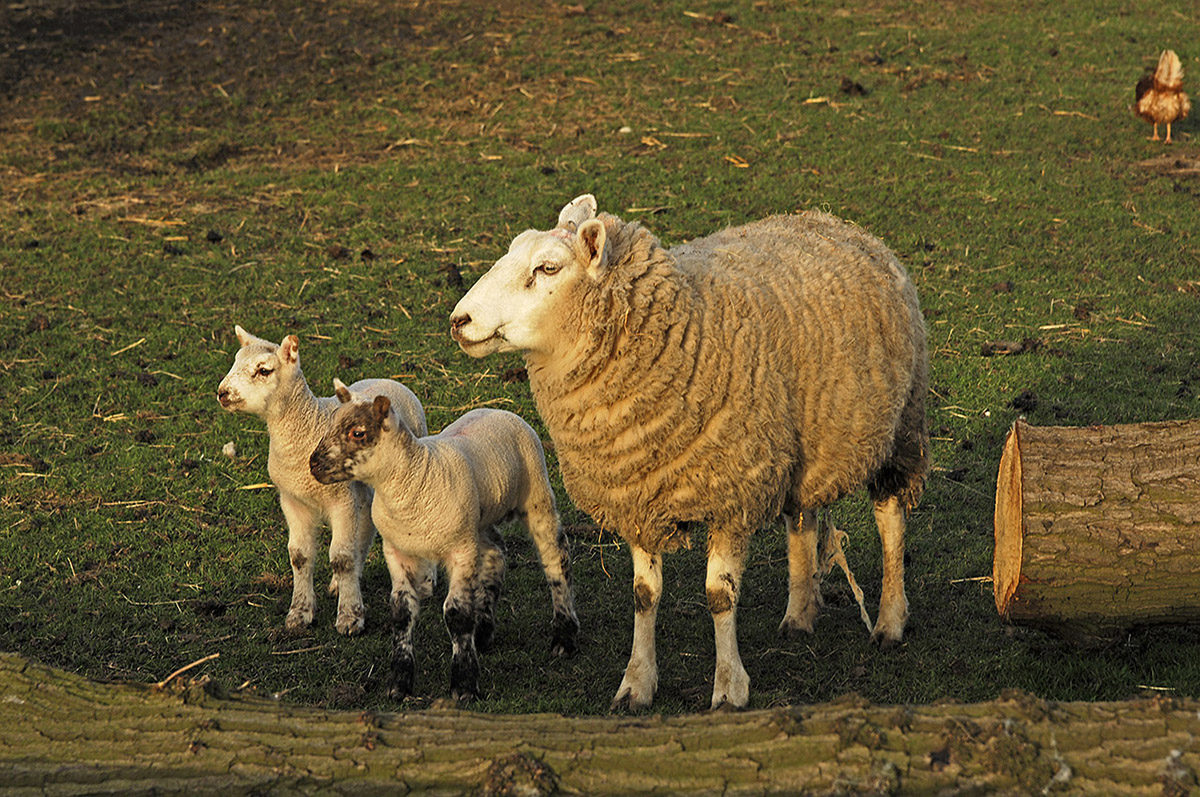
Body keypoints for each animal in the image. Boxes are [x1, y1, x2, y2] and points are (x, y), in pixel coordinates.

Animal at [218, 324, 429, 633]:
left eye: (264, 370)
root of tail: (392, 381)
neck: (307, 426)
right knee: (365, 528)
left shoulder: (342, 499)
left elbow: (341, 558)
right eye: (234, 362)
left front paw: (350, 617)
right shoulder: (292, 499)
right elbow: (299, 556)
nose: (222, 393)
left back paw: (424, 583)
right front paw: (300, 613)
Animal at [309, 388, 580, 700]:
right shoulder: (396, 550)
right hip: (479, 520)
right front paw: (399, 683)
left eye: (358, 432)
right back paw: (483, 631)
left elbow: (456, 614)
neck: (413, 478)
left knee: (556, 558)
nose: (313, 463)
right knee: (495, 552)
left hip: (536, 494)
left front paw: (463, 685)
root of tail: (496, 409)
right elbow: (401, 613)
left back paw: (564, 637)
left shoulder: (461, 551)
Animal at [451, 193, 926, 710]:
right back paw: (799, 615)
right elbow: (643, 594)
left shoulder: (731, 493)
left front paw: (729, 688)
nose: (459, 320)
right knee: (800, 518)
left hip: (899, 426)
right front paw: (636, 684)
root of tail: (834, 222)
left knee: (890, 520)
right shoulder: (639, 493)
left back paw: (890, 622)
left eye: (548, 268)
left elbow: (720, 596)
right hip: (794, 447)